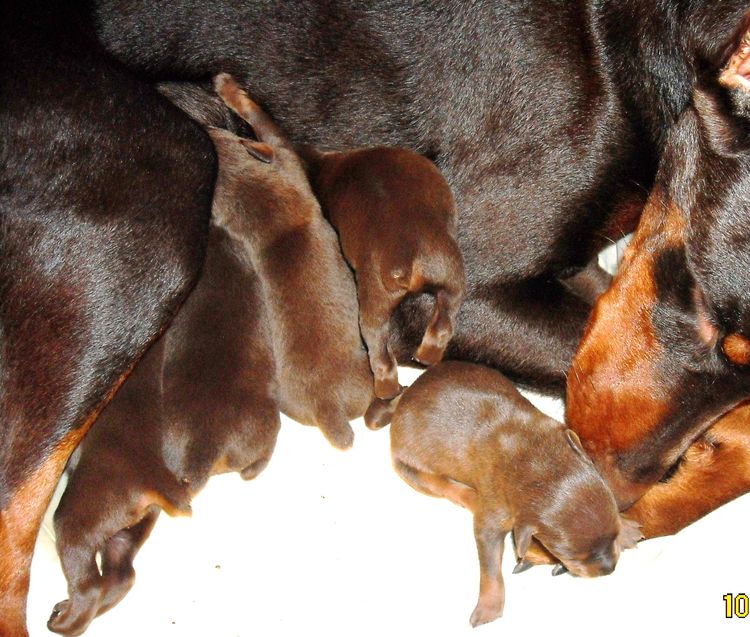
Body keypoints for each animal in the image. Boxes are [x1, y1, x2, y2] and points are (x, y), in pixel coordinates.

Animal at [210, 74, 374, 450]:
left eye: (213, 133)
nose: (203, 126)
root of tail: (327, 408)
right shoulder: (283, 153)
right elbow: (262, 118)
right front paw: (228, 86)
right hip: (365, 383)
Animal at [302, 147, 468, 400]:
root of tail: (405, 258)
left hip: (375, 304)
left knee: (381, 356)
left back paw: (387, 390)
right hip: (450, 275)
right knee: (443, 324)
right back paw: (426, 355)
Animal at [388, 362, 640, 628]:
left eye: (613, 534)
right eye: (569, 554)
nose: (610, 568)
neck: (535, 463)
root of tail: (408, 393)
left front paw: (625, 528)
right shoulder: (491, 520)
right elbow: (490, 569)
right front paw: (489, 606)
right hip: (407, 466)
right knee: (442, 485)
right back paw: (470, 496)